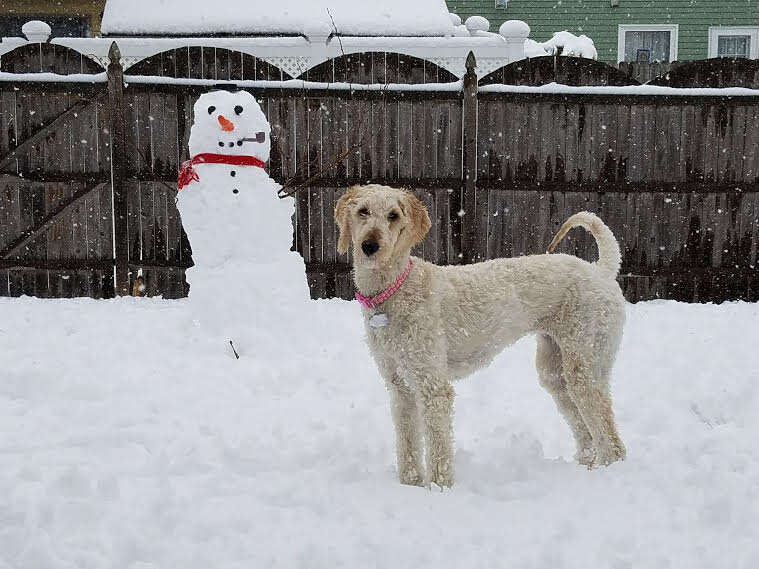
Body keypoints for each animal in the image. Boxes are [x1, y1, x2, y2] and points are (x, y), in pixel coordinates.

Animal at [336, 184, 628, 486]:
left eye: (393, 215)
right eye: (363, 211)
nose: (370, 246)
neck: (394, 290)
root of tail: (601, 270)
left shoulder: (432, 385)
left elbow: (439, 452)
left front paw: (440, 489)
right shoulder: (399, 385)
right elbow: (407, 446)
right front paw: (410, 486)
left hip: (585, 365)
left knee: (612, 443)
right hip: (555, 371)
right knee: (587, 435)